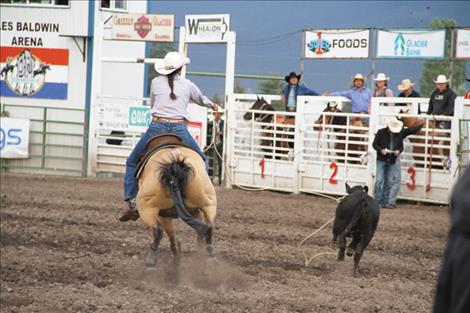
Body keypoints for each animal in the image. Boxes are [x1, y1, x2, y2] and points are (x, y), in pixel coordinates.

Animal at [135, 133, 218, 266]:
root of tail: (174, 164)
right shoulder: (194, 211)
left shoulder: (163, 215)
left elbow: (170, 233)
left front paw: (176, 257)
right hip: (208, 203)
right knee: (209, 227)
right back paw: (210, 256)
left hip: (147, 208)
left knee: (157, 231)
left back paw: (151, 259)